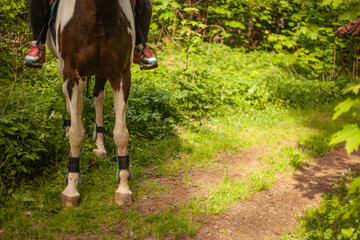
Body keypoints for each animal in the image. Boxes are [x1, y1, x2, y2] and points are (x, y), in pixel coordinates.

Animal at [45, 0, 135, 206]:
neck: (98, 14)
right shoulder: (72, 74)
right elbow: (77, 133)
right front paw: (71, 188)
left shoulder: (121, 75)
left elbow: (121, 134)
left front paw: (123, 187)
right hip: (64, 68)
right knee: (69, 99)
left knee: (97, 98)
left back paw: (99, 145)